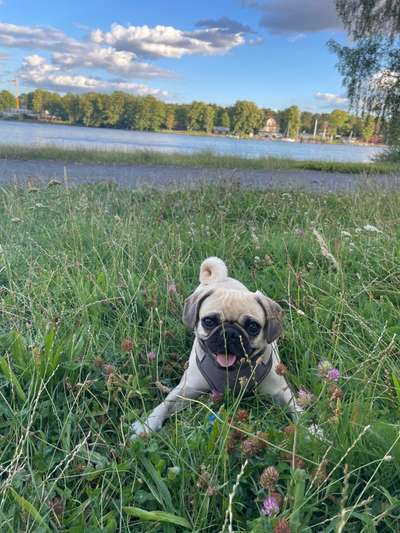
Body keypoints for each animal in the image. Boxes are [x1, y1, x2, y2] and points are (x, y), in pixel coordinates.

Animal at [130, 258, 300, 436]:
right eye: (209, 321)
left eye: (253, 327)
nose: (229, 333)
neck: (232, 370)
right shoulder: (186, 389)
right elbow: (164, 405)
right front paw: (146, 424)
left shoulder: (281, 391)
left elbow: (296, 408)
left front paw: (307, 430)